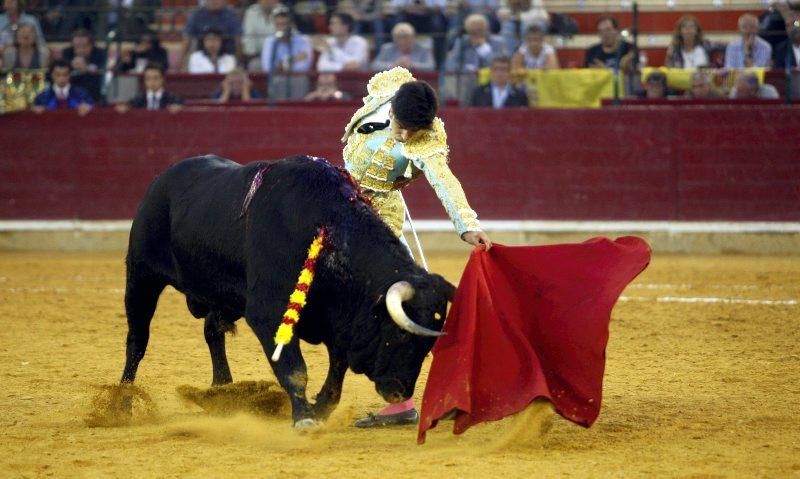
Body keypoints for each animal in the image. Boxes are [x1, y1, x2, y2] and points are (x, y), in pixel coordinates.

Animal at [119, 155, 456, 428]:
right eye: (400, 335)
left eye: (428, 346)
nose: (399, 390)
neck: (327, 229)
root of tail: (163, 178)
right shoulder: (268, 313)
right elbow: (294, 369)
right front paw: (304, 418)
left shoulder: (339, 320)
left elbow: (337, 375)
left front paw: (319, 409)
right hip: (141, 276)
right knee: (138, 340)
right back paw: (121, 404)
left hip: (224, 295)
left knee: (212, 330)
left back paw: (224, 391)